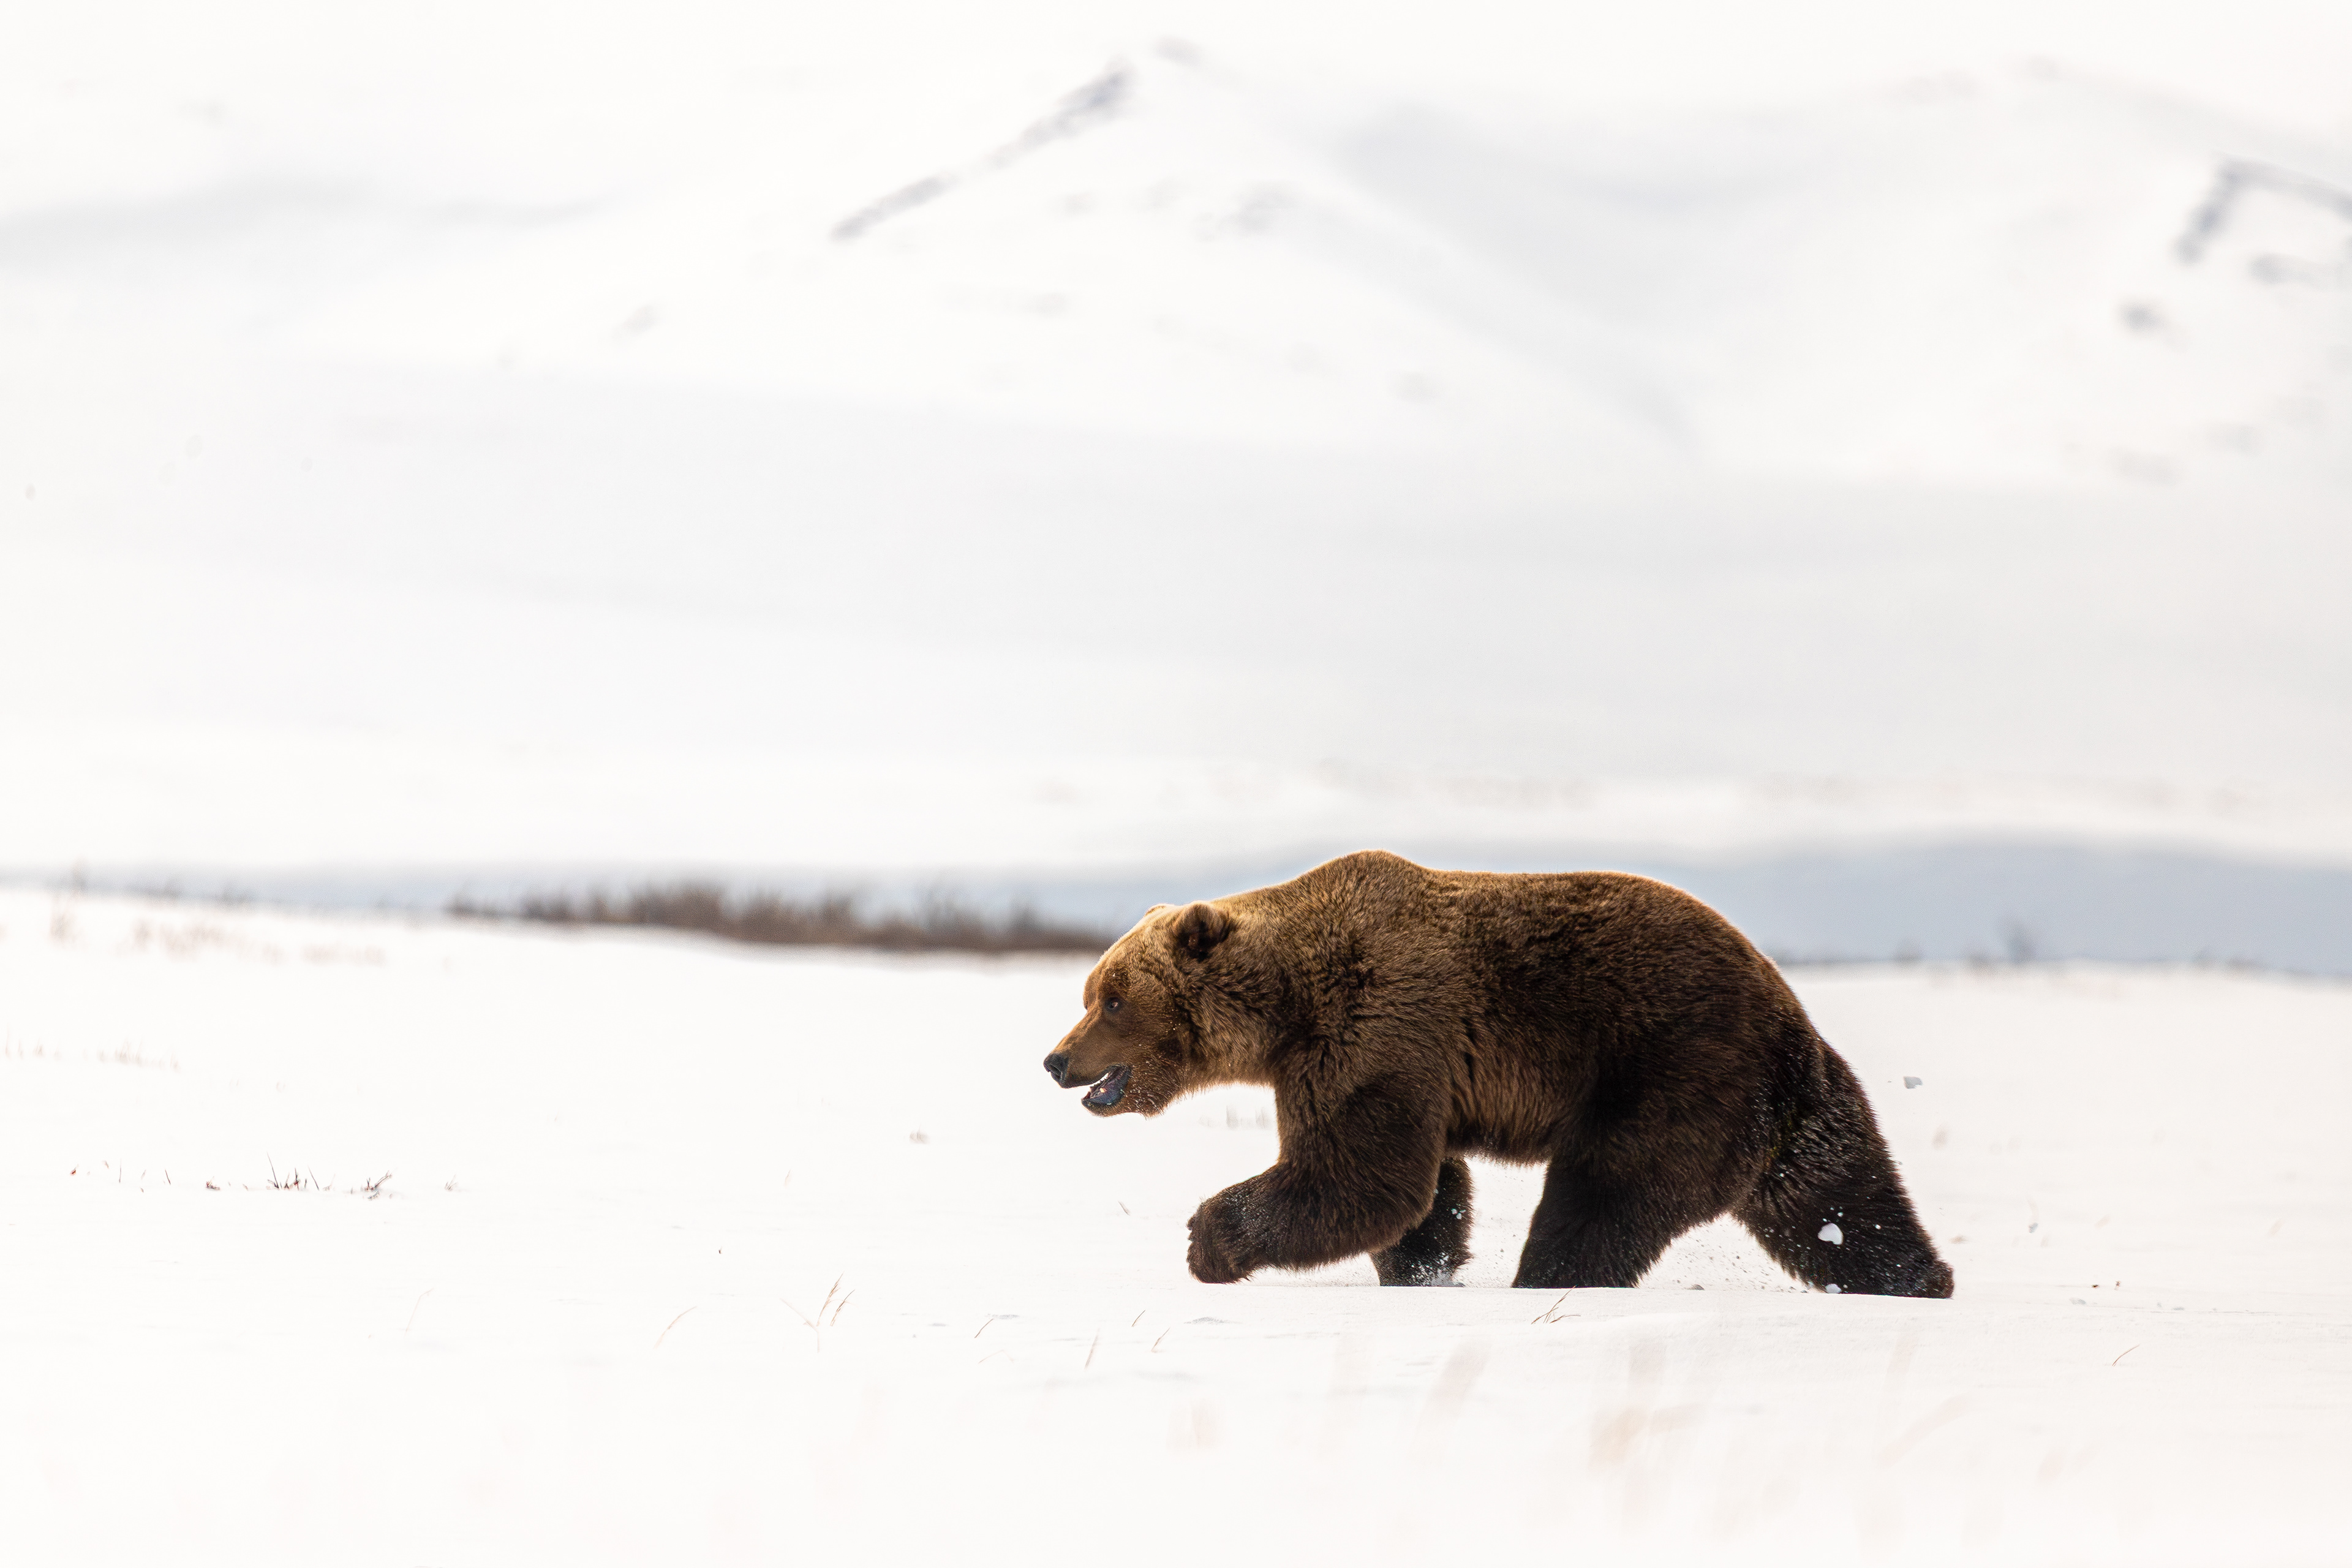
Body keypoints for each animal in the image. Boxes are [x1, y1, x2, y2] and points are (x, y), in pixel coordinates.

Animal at [1042, 850, 1953, 1297]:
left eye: (1112, 998)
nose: (1055, 1059)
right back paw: (1917, 1279)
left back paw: (1545, 1279)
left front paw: (1208, 1240)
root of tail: (1787, 1019)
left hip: (1670, 1068)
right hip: (1793, 1108)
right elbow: (1418, 1190)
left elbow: (1359, 1174)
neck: (1288, 1003)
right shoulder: (1386, 1060)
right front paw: (1420, 1271)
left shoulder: (1378, 1022)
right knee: (1838, 1200)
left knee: (1602, 1196)